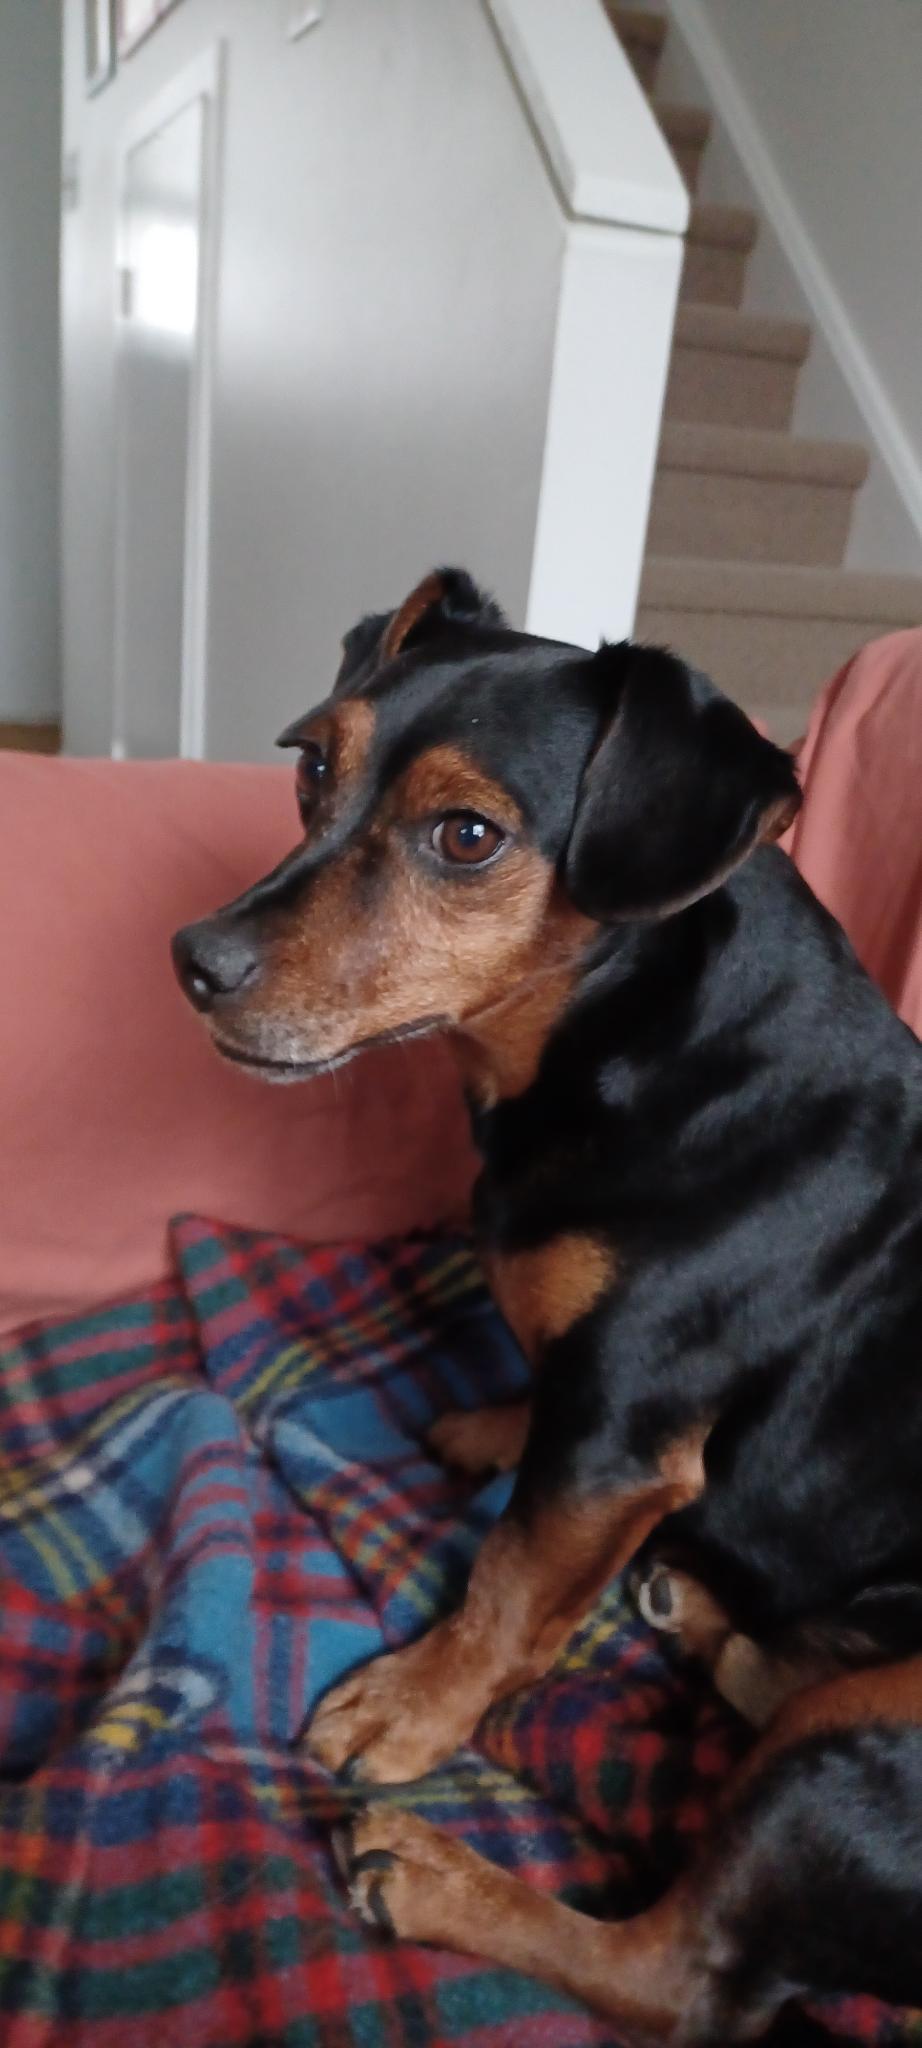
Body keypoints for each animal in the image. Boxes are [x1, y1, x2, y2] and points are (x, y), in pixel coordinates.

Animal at [171, 573, 922, 2048]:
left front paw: (409, 1710)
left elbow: (511, 1579)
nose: (192, 960)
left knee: (677, 1983)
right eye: (311, 770)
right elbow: (533, 1433)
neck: (635, 1041)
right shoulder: (595, 1411)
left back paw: (429, 1873)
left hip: (883, 1720)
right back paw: (704, 1618)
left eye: (465, 836)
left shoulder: (627, 1429)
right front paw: (490, 1426)